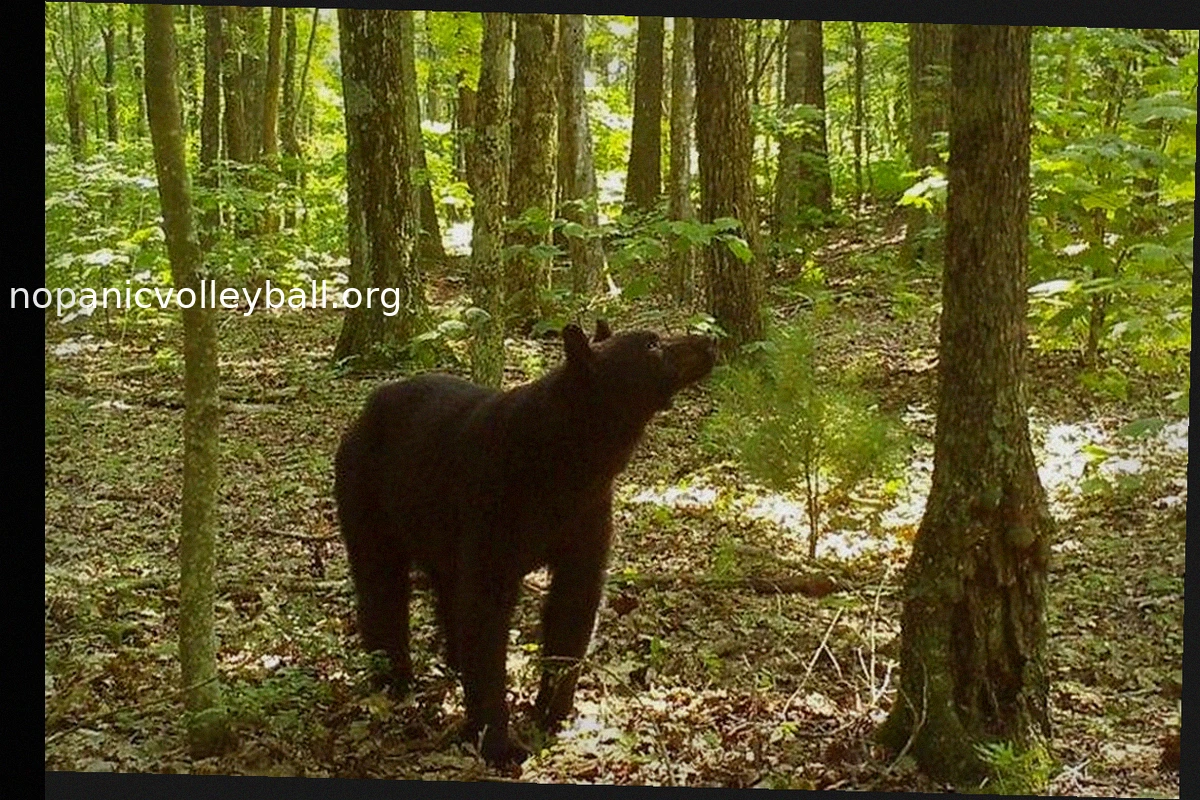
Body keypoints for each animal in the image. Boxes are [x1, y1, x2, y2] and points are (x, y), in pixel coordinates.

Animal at [333, 320, 715, 766]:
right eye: (652, 344)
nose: (710, 340)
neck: (571, 463)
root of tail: (363, 412)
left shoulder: (586, 518)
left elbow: (572, 609)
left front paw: (552, 715)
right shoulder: (495, 510)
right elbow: (485, 620)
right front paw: (498, 742)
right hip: (368, 495)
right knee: (381, 586)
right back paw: (392, 680)